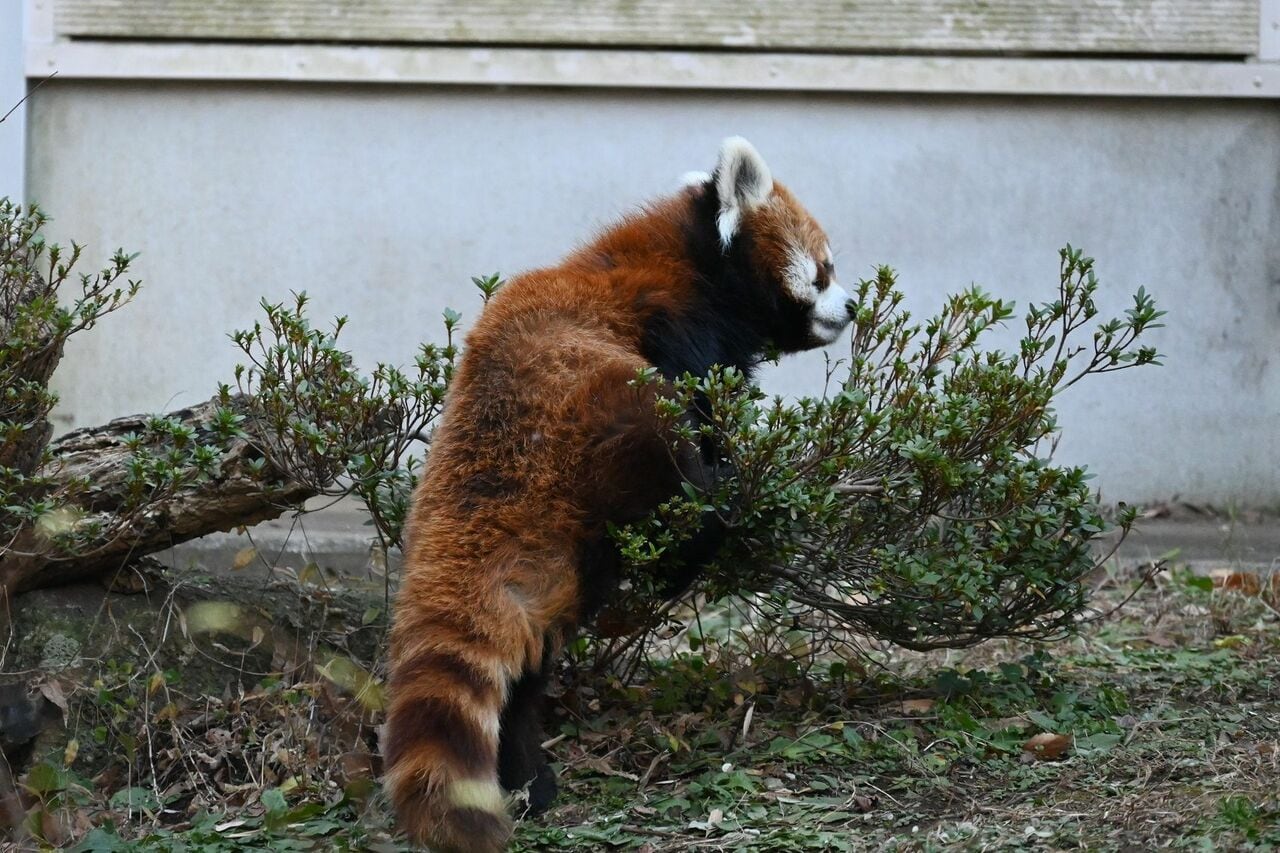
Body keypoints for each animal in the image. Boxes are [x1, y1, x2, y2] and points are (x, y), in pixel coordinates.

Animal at [384, 136, 855, 845]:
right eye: (823, 270)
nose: (851, 306)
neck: (691, 262)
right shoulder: (677, 325)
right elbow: (704, 408)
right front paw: (730, 471)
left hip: (556, 563)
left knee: (526, 672)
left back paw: (528, 782)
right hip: (604, 407)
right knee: (669, 458)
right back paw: (704, 527)